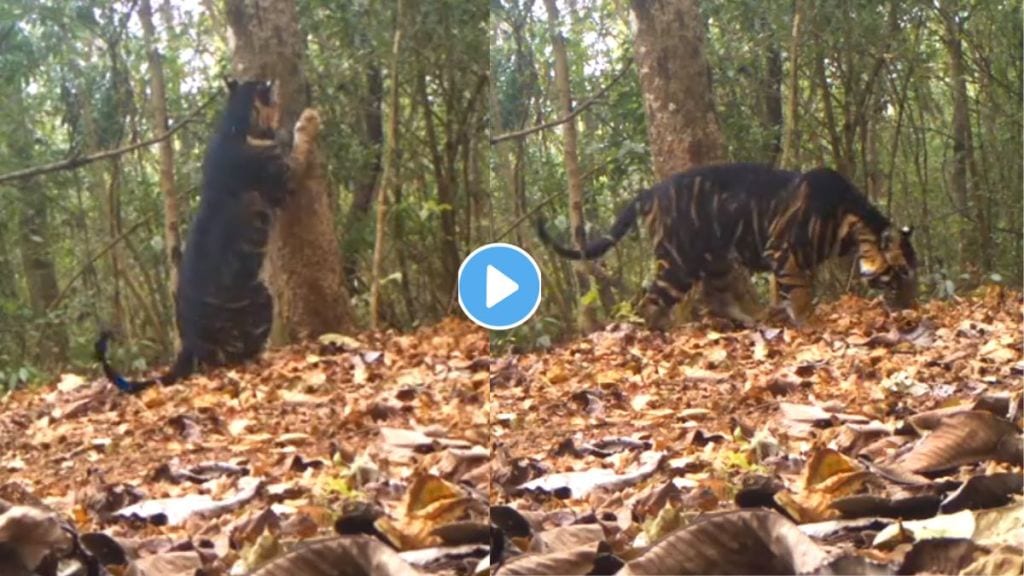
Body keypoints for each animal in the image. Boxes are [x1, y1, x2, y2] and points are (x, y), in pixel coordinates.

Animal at [95, 79, 322, 393]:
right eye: (261, 85)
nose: (271, 80)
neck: (237, 126)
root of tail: (187, 343)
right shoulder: (283, 177)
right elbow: (297, 146)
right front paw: (308, 119)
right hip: (260, 297)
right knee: (236, 354)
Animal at [537, 163, 917, 328]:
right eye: (899, 274)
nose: (911, 309)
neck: (851, 226)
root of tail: (648, 192)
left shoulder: (785, 261)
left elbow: (784, 291)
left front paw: (782, 316)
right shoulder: (783, 252)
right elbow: (800, 293)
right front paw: (811, 325)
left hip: (715, 260)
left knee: (715, 298)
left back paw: (749, 320)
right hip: (678, 264)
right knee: (649, 301)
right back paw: (660, 334)